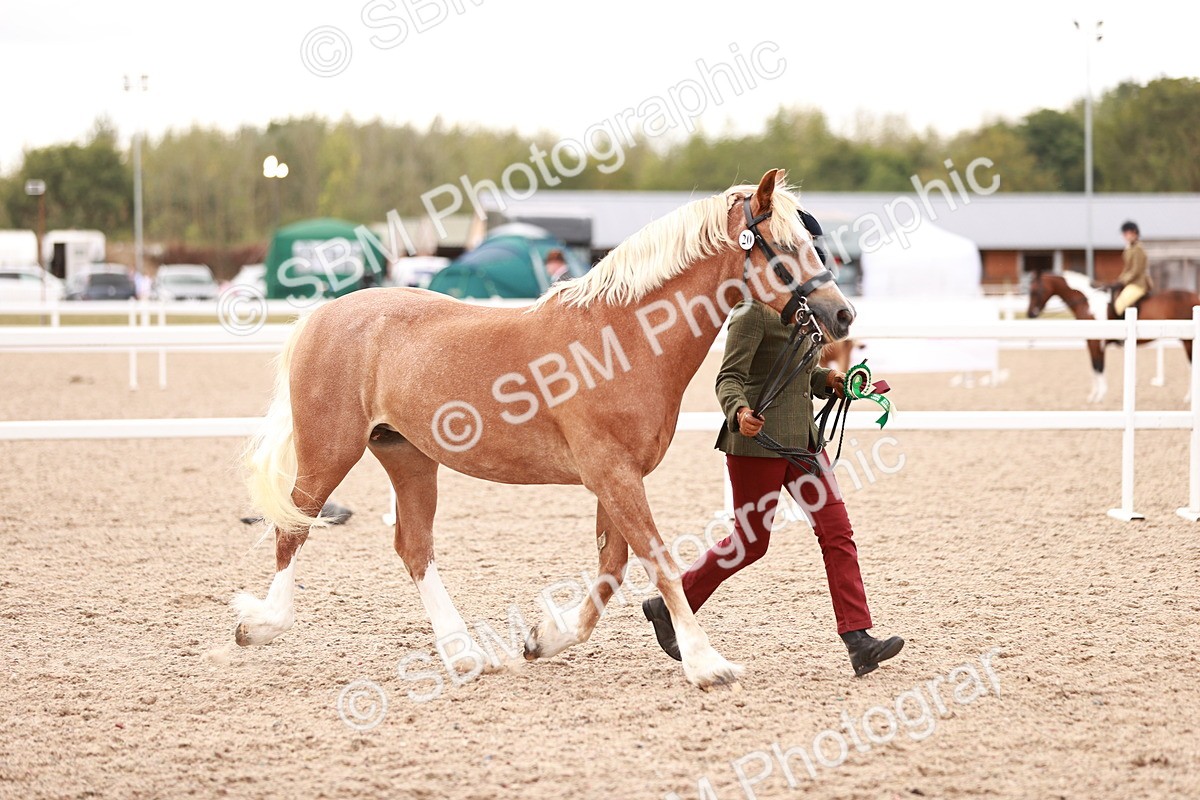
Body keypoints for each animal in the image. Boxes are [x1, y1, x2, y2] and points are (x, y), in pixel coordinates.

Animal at [231, 169, 854, 690]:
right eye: (786, 245)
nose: (841, 314)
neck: (621, 339)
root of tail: (322, 314)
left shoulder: (616, 478)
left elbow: (611, 571)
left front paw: (543, 640)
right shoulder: (614, 474)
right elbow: (658, 562)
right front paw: (707, 664)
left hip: (407, 456)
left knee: (413, 547)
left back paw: (463, 654)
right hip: (330, 450)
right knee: (295, 527)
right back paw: (258, 625)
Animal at [1027, 269, 1197, 403]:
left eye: (1036, 291)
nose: (1030, 314)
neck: (1088, 305)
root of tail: (1194, 296)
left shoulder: (1097, 342)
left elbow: (1099, 366)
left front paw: (1100, 396)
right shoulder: (1090, 342)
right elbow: (1094, 367)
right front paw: (1093, 395)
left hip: (1188, 341)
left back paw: (1188, 397)